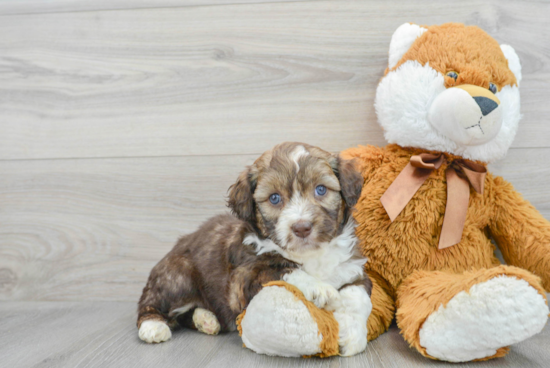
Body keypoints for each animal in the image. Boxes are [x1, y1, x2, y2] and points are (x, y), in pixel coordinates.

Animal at [136, 142, 374, 356]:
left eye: (321, 189)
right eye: (274, 198)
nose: (302, 227)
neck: (310, 254)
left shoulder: (352, 269)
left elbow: (359, 296)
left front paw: (353, 336)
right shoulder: (242, 280)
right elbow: (285, 270)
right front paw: (319, 288)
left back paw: (205, 319)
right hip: (178, 276)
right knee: (151, 302)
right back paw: (153, 326)